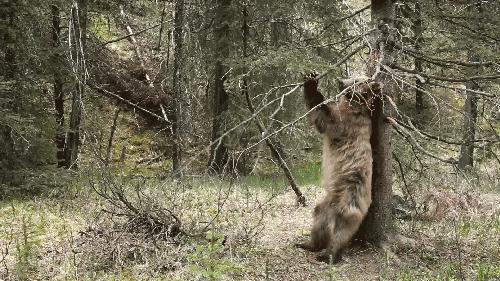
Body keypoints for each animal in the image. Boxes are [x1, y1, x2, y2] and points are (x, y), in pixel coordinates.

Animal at [294, 73, 376, 262]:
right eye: (352, 75)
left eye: (356, 80)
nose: (340, 81)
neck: (355, 105)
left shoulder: (347, 121)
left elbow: (324, 117)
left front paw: (311, 84)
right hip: (326, 205)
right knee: (319, 219)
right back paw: (308, 244)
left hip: (349, 199)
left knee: (342, 230)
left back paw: (329, 253)